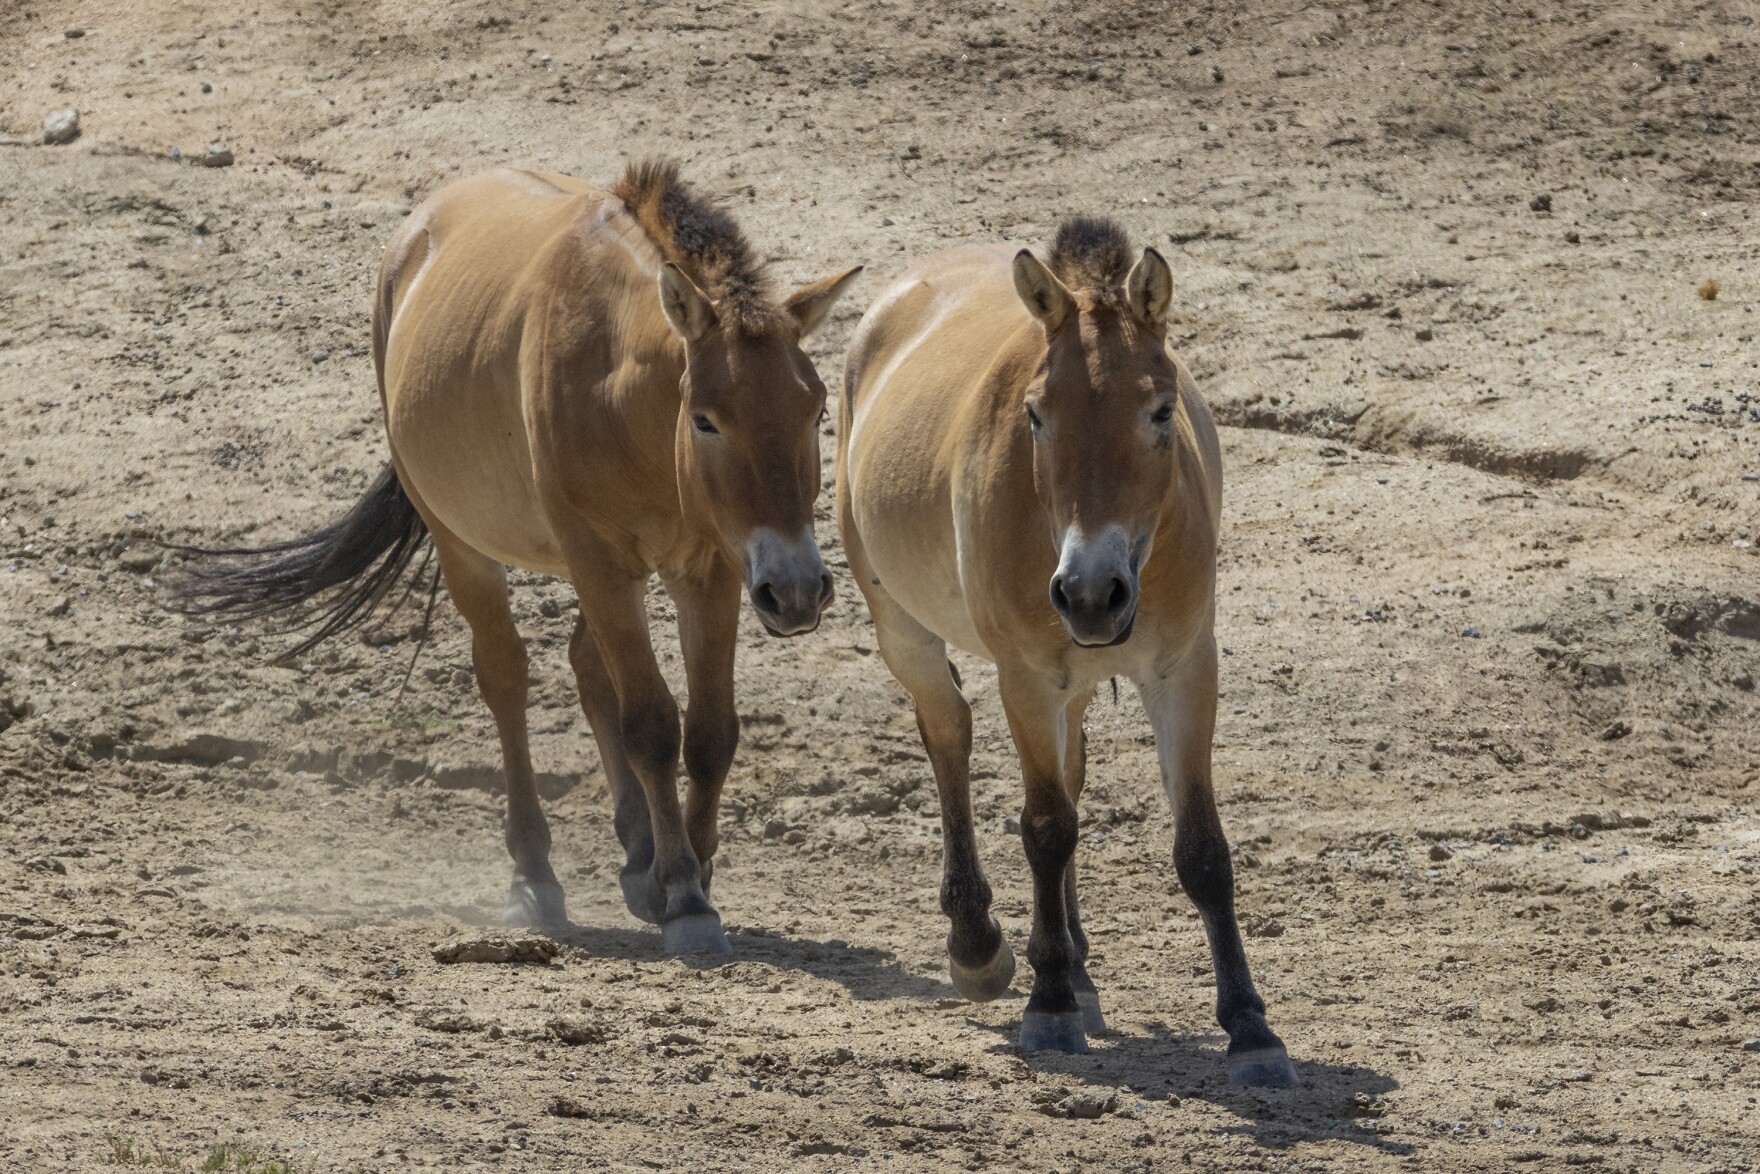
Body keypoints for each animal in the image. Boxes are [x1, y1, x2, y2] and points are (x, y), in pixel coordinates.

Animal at [174, 161, 861, 956]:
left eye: (816, 409)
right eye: (706, 420)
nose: (799, 589)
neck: (620, 389)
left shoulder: (710, 569)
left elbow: (712, 732)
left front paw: (687, 869)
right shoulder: (602, 562)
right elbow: (653, 725)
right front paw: (686, 898)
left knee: (588, 668)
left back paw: (638, 853)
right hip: (465, 544)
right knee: (507, 677)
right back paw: (537, 876)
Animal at [836, 218, 1295, 1084]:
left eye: (1160, 410)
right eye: (1036, 416)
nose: (1089, 593)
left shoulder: (1186, 671)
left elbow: (1203, 850)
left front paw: (1251, 1026)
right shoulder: (1027, 679)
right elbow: (1046, 828)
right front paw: (1046, 1004)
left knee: (1068, 771)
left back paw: (1075, 961)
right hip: (903, 631)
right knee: (948, 732)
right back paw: (981, 945)